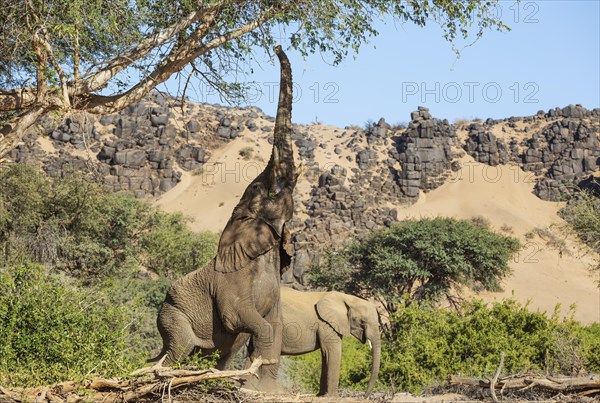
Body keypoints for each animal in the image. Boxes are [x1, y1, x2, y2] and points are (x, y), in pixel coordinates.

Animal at [149, 45, 296, 384]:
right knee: (179, 349)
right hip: (172, 314)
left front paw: (262, 387)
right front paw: (254, 380)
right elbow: (244, 319)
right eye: (266, 190)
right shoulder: (232, 284)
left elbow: (276, 325)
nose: (276, 47)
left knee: (214, 355)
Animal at [232, 288, 382, 400]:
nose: (364, 397)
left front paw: (321, 395)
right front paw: (332, 397)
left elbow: (325, 355)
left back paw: (247, 389)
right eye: (362, 321)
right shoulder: (326, 323)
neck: (346, 298)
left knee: (252, 353)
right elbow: (331, 352)